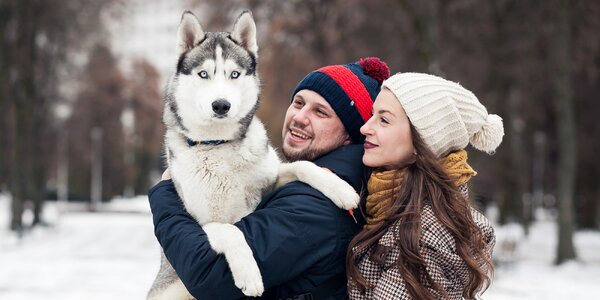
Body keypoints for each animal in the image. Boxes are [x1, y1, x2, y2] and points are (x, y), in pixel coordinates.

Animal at [147, 10, 358, 298]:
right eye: (204, 74)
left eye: (234, 74)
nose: (221, 105)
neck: (219, 144)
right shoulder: (201, 224)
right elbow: (230, 231)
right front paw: (250, 275)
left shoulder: (269, 182)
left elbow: (303, 165)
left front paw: (341, 189)